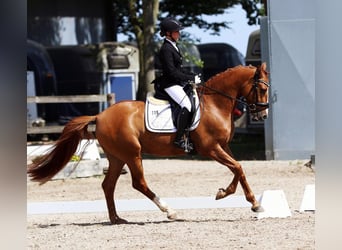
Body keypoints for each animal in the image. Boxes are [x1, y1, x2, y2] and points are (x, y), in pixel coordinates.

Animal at [27, 62, 270, 225]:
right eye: (262, 89)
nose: (263, 115)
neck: (215, 104)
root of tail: (100, 115)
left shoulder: (223, 146)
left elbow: (238, 169)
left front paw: (228, 194)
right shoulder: (210, 148)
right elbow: (238, 167)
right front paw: (253, 203)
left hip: (117, 156)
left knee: (108, 185)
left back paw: (116, 218)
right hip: (132, 153)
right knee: (139, 183)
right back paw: (169, 211)